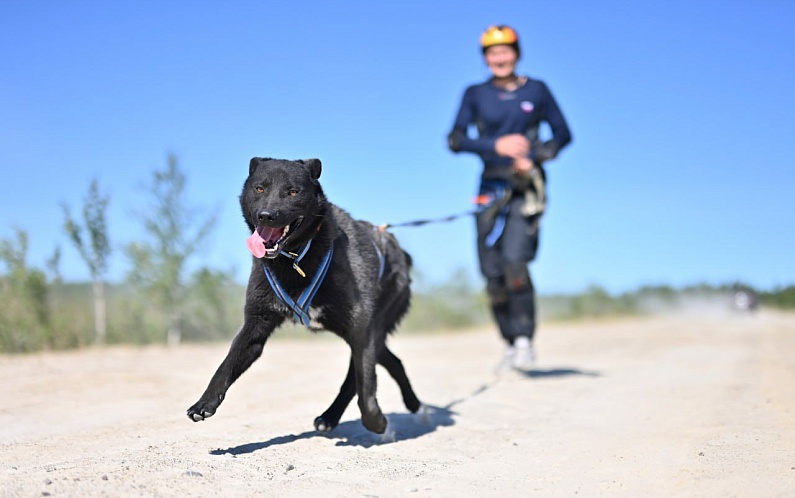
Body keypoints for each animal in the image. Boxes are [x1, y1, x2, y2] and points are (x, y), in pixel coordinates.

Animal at [188, 158, 422, 434]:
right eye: (260, 188)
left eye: (292, 192)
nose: (266, 215)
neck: (297, 257)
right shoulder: (256, 325)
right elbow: (226, 364)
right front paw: (204, 402)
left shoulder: (360, 328)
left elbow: (365, 383)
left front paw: (375, 420)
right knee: (393, 361)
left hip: (374, 324)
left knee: (359, 374)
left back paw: (339, 415)